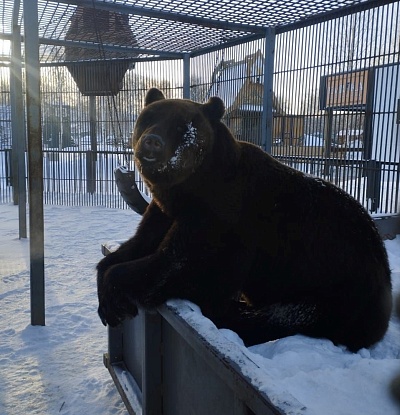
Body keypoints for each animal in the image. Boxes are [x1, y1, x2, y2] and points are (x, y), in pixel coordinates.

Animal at [97, 89, 394, 352]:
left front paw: (117, 296)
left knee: (285, 317)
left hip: (339, 287)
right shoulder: (165, 210)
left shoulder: (222, 217)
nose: (152, 142)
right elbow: (139, 245)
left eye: (182, 126)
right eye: (148, 117)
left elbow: (181, 265)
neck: (190, 187)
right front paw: (106, 294)